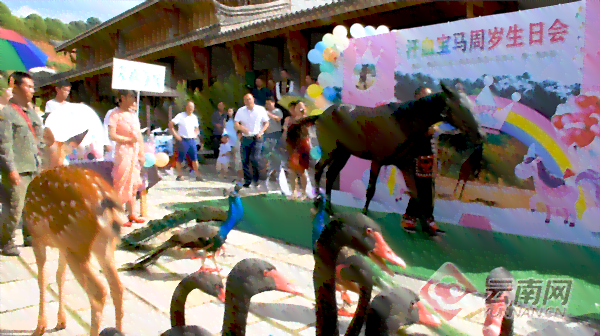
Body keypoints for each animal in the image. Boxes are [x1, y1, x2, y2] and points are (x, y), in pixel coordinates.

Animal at [290, 84, 482, 215]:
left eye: (471, 106)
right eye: (460, 107)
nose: (479, 134)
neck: (402, 122)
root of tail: (321, 115)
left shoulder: (404, 165)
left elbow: (417, 195)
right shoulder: (377, 162)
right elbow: (370, 190)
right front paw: (365, 213)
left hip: (343, 154)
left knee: (330, 175)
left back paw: (329, 206)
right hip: (331, 151)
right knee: (318, 169)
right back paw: (317, 200)